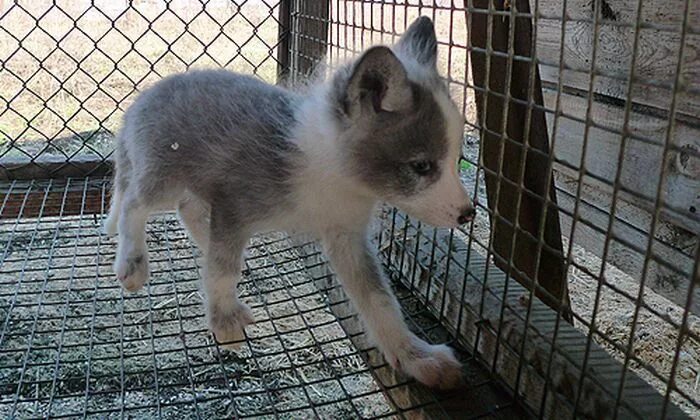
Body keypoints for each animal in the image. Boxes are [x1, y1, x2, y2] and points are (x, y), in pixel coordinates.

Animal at [104, 17, 476, 390]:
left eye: (455, 160)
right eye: (422, 166)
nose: (468, 215)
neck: (328, 174)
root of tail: (144, 97)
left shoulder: (347, 237)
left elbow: (380, 300)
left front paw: (414, 355)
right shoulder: (232, 206)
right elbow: (223, 270)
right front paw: (224, 319)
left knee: (187, 210)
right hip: (163, 182)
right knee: (132, 203)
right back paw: (132, 261)